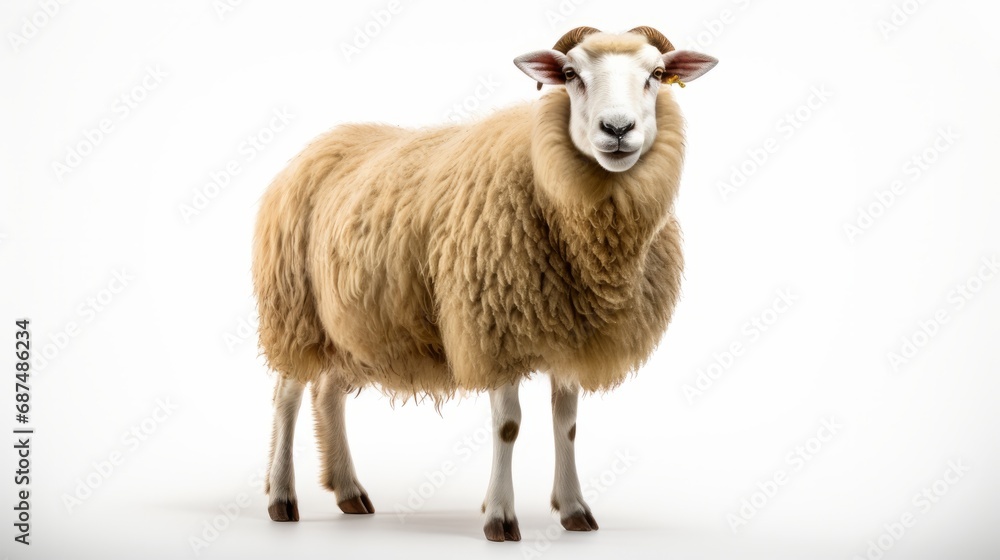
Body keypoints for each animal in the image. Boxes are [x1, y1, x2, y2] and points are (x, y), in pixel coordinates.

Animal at [252, 25, 717, 541]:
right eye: (570, 74)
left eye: (656, 74)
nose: (617, 130)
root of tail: (317, 146)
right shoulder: (494, 326)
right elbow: (508, 426)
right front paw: (500, 517)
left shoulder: (570, 331)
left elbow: (568, 424)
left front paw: (574, 509)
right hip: (294, 309)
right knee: (287, 397)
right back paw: (281, 498)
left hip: (350, 323)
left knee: (328, 392)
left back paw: (349, 491)